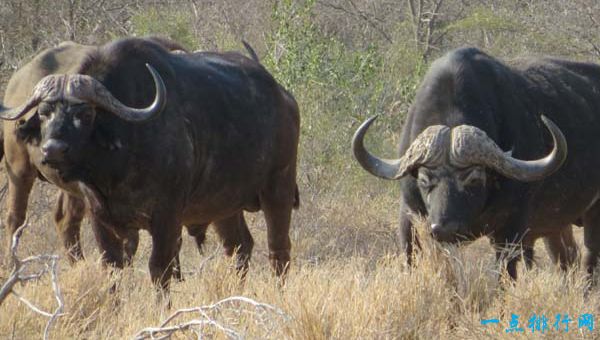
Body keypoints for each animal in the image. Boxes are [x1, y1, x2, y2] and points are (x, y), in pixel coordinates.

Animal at [0, 37, 300, 292]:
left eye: (85, 114)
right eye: (44, 112)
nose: (52, 149)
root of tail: (284, 98)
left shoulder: (167, 216)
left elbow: (159, 268)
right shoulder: (100, 217)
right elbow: (111, 267)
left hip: (278, 188)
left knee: (278, 249)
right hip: (224, 204)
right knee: (239, 247)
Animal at [354, 47, 600, 278]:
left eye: (473, 178)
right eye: (424, 180)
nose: (444, 228)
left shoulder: (511, 229)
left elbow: (504, 274)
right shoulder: (409, 216)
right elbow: (411, 257)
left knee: (589, 260)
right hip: (556, 224)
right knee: (565, 259)